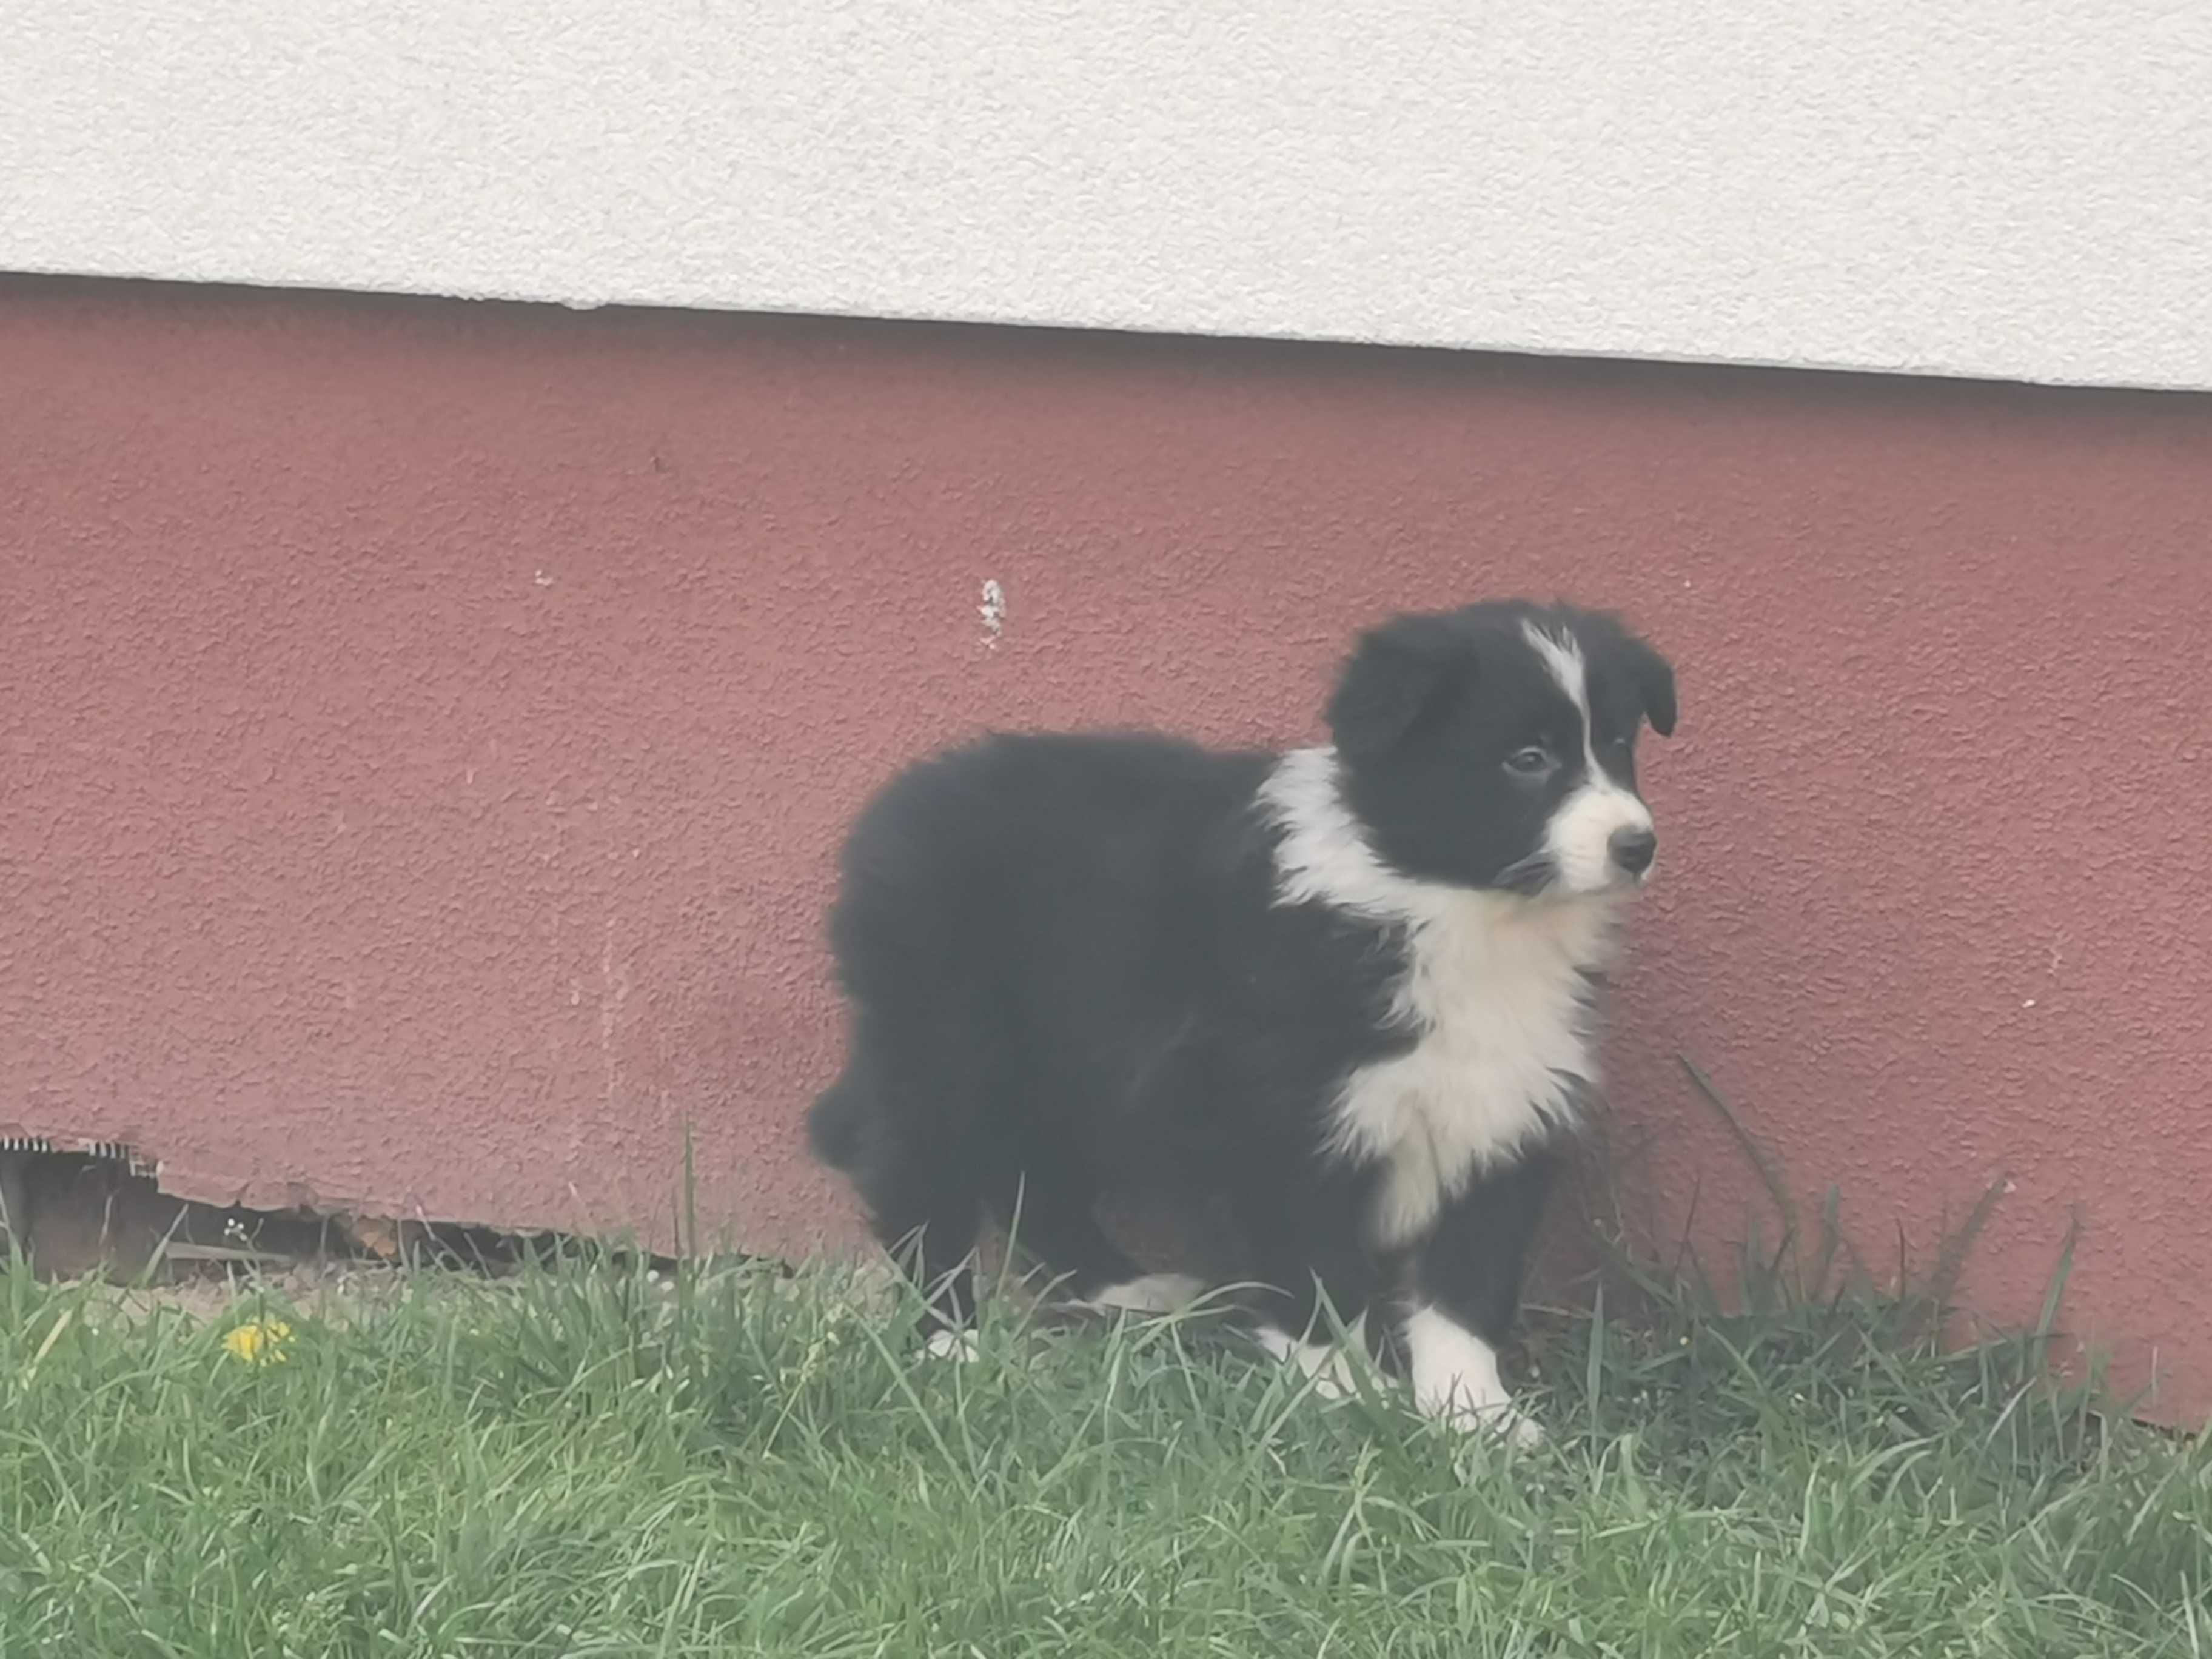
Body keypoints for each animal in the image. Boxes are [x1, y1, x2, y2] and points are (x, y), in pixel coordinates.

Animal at [814, 597, 1672, 1442]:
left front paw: (1474, 1418)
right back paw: (949, 1345)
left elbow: (1466, 1283)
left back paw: (1124, 1289)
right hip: (946, 1043)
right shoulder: (1280, 1119)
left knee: (1035, 1177)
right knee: (924, 1184)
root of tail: (893, 811)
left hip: (1066, 1065)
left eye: (1618, 743)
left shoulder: (1503, 1108)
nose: (1638, 845)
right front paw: (1342, 1396)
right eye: (1528, 760)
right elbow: (1315, 1271)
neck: (1458, 910)